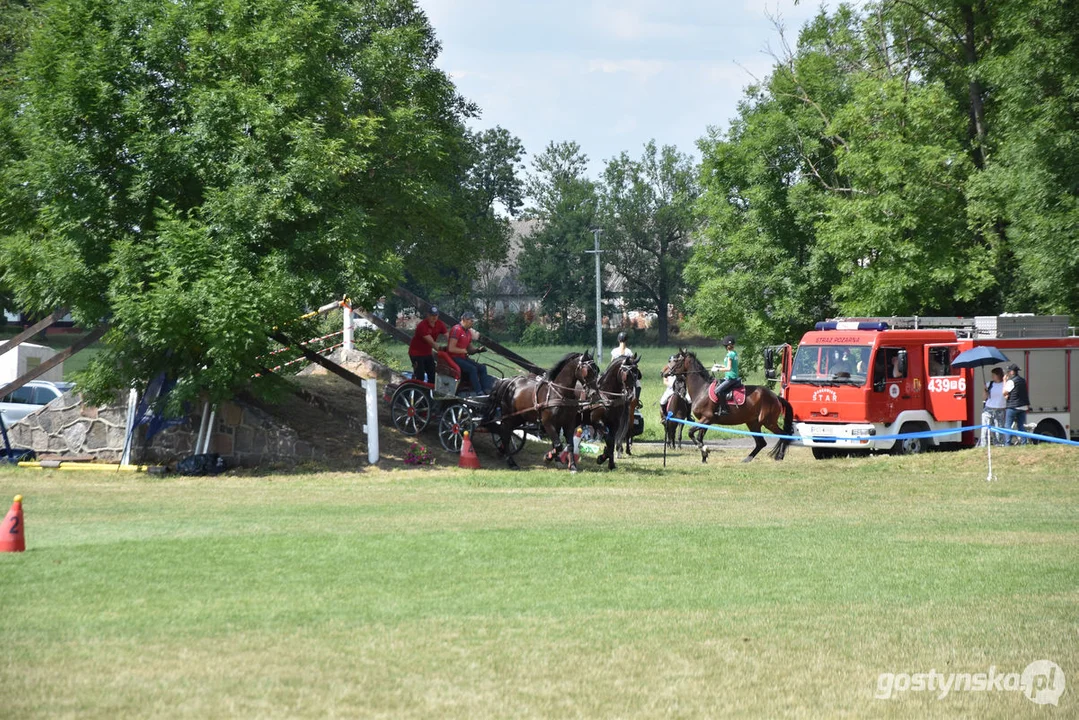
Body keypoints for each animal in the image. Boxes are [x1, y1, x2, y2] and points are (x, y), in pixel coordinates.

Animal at [660, 349, 798, 462]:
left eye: (676, 360)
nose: (663, 373)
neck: (702, 389)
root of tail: (775, 397)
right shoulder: (706, 421)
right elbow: (699, 437)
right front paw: (704, 455)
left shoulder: (707, 418)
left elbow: (691, 433)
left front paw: (705, 450)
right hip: (753, 423)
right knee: (761, 443)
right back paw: (747, 459)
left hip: (768, 422)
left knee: (784, 435)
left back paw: (779, 456)